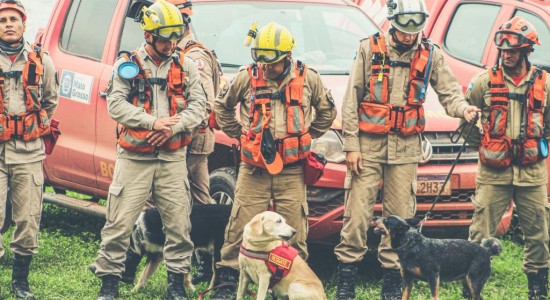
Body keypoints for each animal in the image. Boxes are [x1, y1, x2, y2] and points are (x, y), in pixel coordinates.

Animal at [376, 216, 504, 300]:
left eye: (386, 220)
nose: (375, 217)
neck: (411, 244)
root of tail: (487, 250)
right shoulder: (407, 279)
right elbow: (404, 297)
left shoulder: (433, 277)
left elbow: (434, 297)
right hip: (467, 283)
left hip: (474, 283)